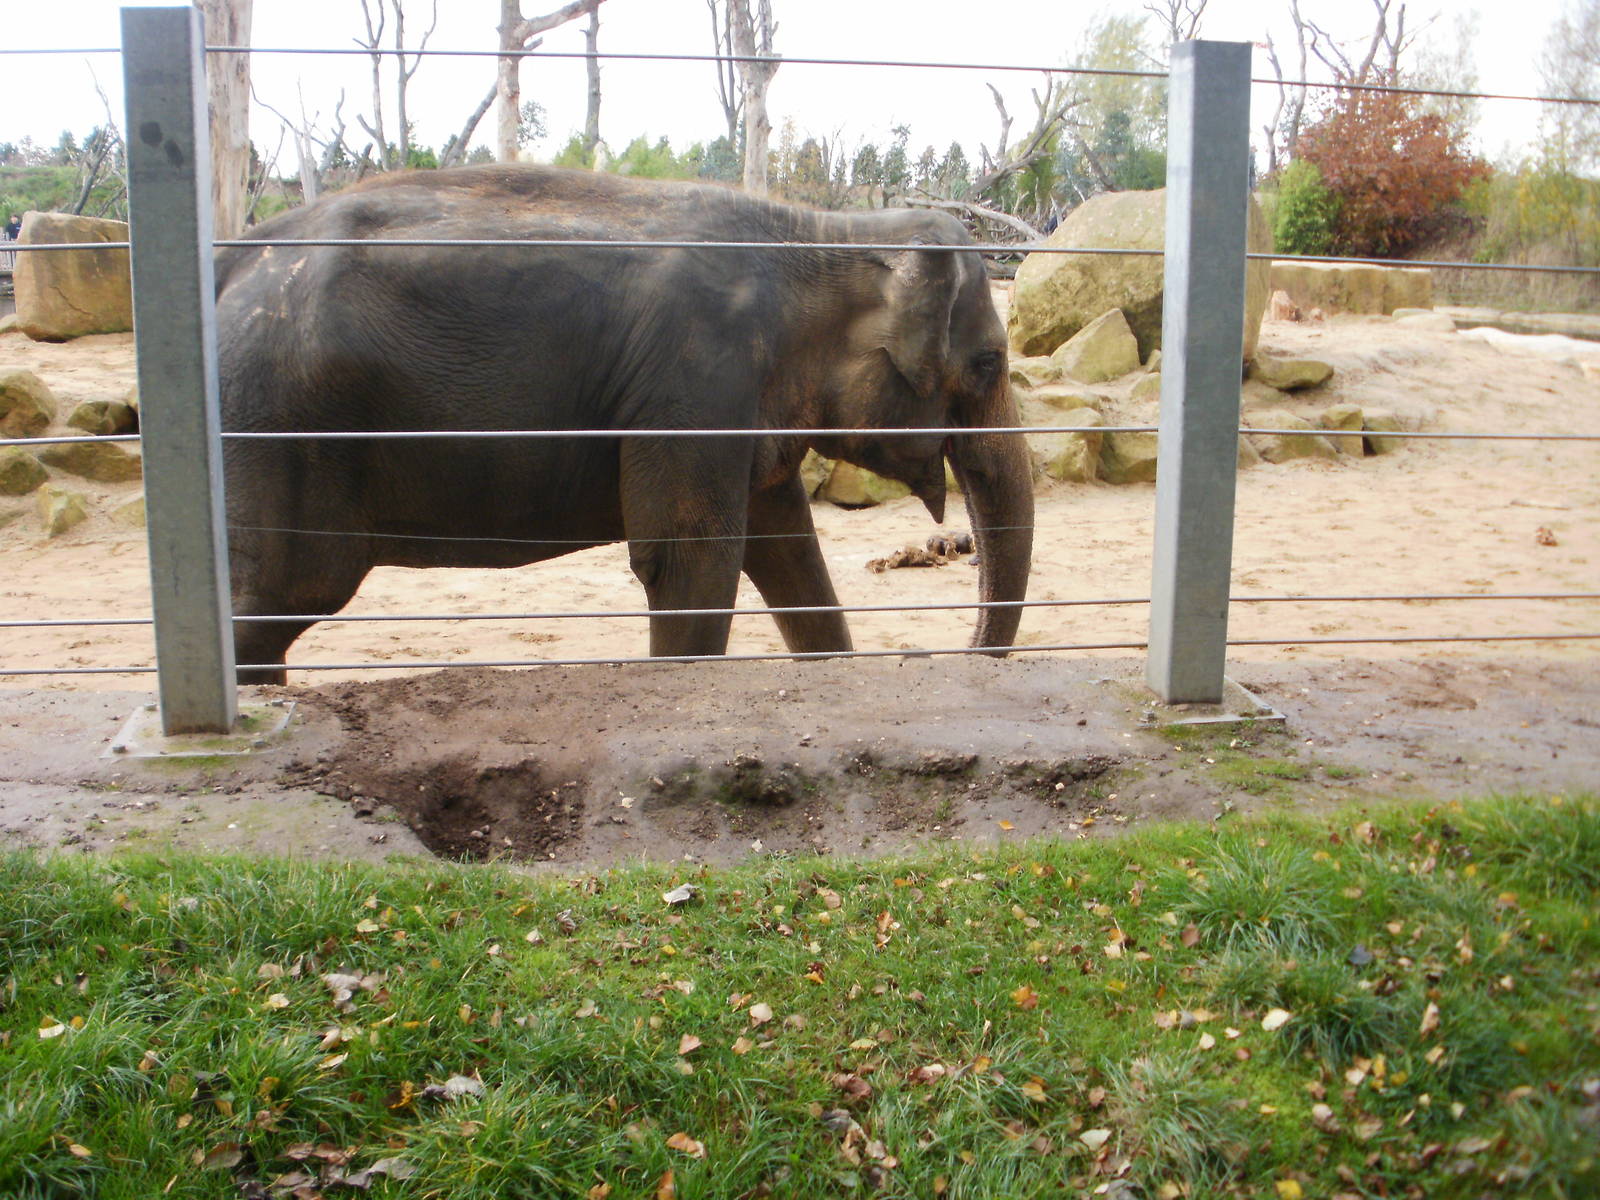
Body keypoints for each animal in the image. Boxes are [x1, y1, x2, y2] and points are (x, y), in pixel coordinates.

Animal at [213, 165, 1033, 684]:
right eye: (989, 362)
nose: (951, 659)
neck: (821, 232)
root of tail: (233, 260)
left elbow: (788, 554)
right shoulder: (697, 378)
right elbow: (687, 563)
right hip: (282, 424)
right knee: (284, 595)